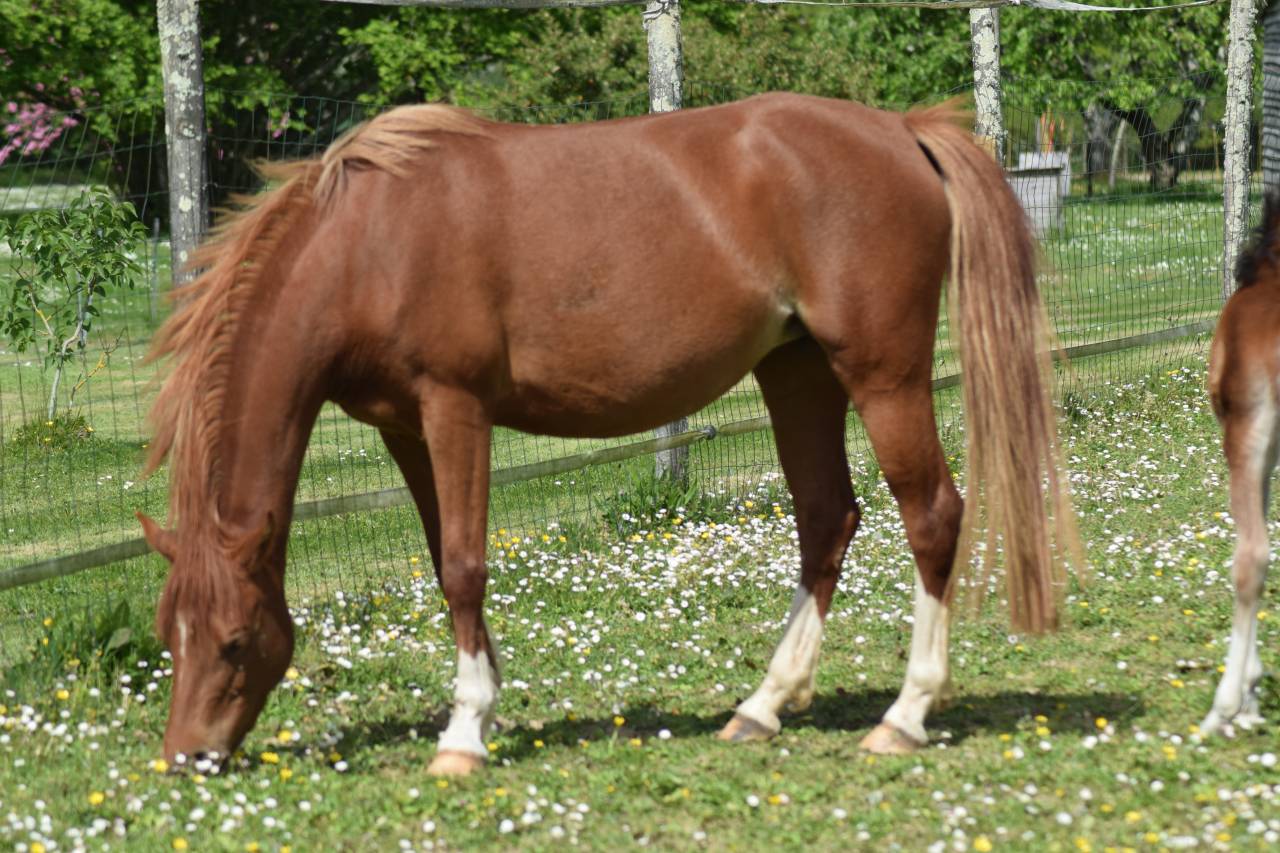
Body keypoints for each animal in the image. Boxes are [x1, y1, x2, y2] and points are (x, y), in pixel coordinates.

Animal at [137, 92, 1080, 776]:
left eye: (233, 640)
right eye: (168, 633)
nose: (187, 757)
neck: (369, 241)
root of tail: (902, 130)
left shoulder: (455, 409)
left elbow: (464, 564)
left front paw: (464, 733)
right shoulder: (404, 427)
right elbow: (444, 559)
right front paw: (485, 697)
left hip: (882, 375)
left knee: (931, 515)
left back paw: (904, 715)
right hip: (798, 372)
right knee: (826, 519)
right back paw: (763, 705)